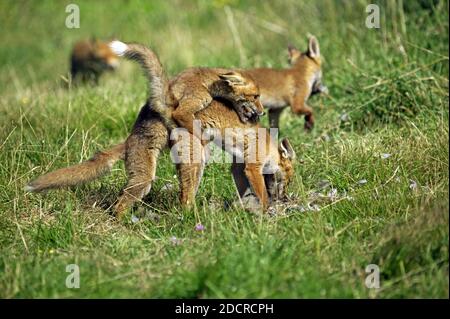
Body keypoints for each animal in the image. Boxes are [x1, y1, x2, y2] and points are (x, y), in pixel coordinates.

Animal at [26, 41, 298, 219]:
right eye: (289, 177)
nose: (285, 197)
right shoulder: (252, 165)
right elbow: (261, 193)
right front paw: (266, 210)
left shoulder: (239, 165)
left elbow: (244, 187)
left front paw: (249, 205)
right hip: (179, 167)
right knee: (158, 201)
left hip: (155, 172)